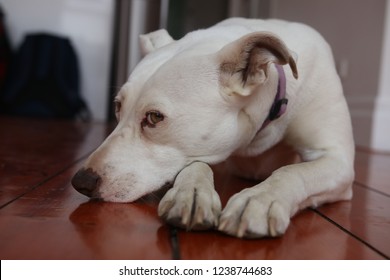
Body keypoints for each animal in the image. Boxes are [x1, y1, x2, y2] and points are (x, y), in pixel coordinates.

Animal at [71, 17, 354, 237]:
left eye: (154, 118)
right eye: (118, 106)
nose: (80, 182)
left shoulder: (337, 161)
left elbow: (292, 172)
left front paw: (259, 200)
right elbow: (196, 164)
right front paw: (190, 194)